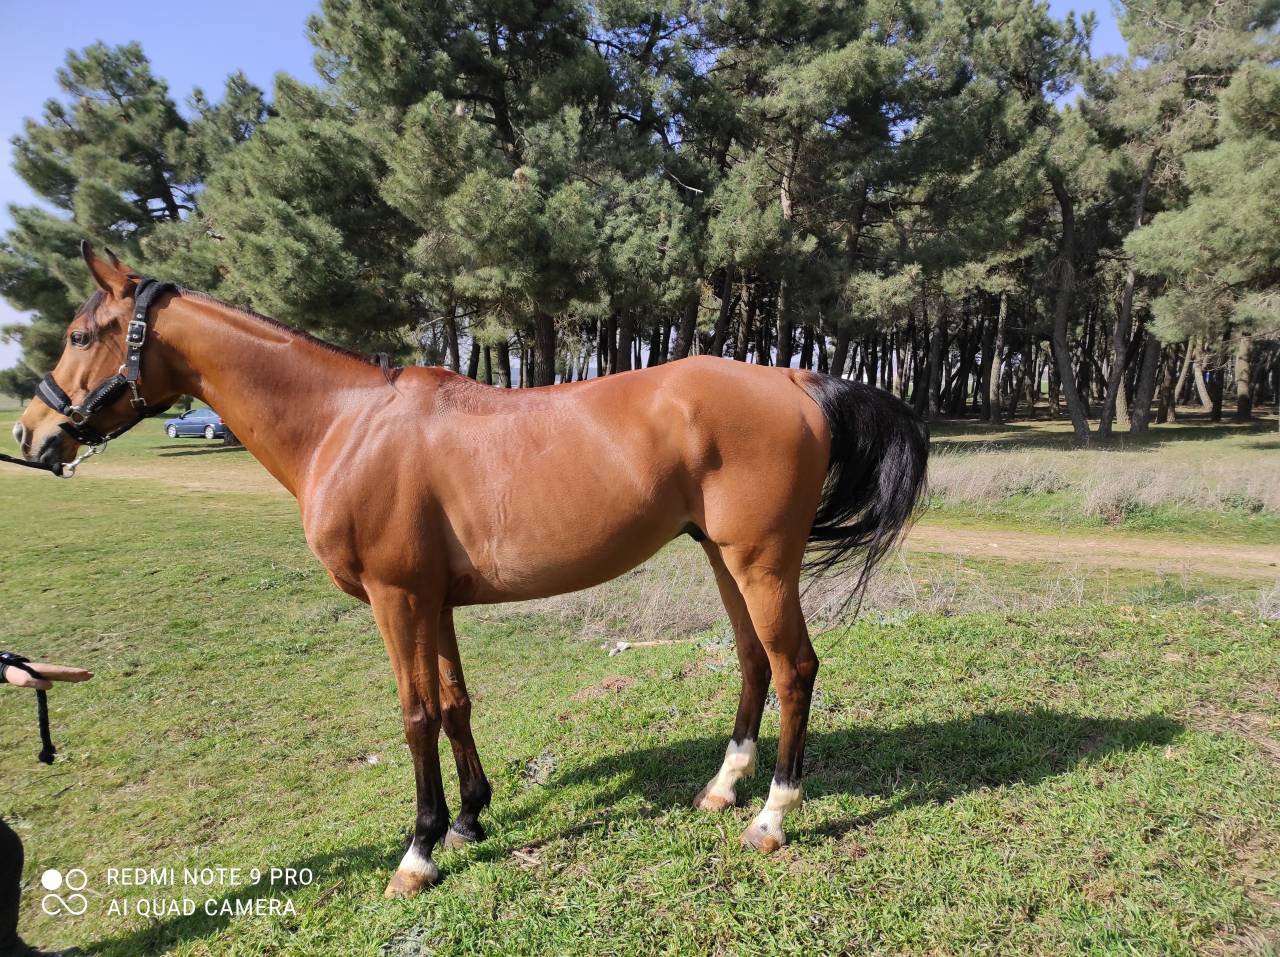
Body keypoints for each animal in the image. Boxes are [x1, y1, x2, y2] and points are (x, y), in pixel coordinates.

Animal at [12, 244, 928, 898]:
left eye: (81, 335)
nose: (30, 433)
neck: (346, 423)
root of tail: (793, 377)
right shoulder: (435, 600)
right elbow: (455, 702)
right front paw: (469, 820)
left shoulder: (396, 598)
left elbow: (416, 714)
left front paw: (419, 850)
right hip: (722, 557)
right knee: (751, 660)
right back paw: (723, 787)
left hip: (761, 561)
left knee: (794, 666)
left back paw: (772, 816)